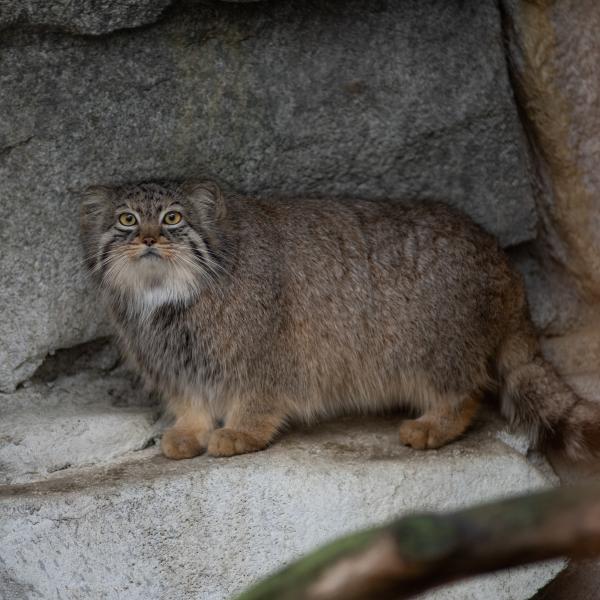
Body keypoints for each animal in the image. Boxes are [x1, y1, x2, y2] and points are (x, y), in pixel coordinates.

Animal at [81, 180, 600, 458]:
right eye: (127, 219)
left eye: (173, 218)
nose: (148, 238)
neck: (169, 300)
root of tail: (503, 262)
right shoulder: (176, 367)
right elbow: (191, 403)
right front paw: (190, 433)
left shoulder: (263, 354)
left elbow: (256, 398)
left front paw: (242, 432)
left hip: (431, 347)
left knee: (466, 390)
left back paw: (434, 424)